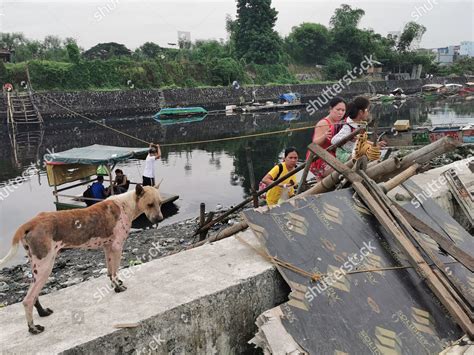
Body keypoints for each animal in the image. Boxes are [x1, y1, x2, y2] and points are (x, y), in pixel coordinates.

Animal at [0, 185, 164, 336]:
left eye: (160, 203)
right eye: (150, 204)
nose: (160, 219)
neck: (125, 204)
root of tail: (30, 223)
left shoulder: (108, 248)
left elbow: (110, 272)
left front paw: (115, 286)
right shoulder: (117, 247)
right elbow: (115, 271)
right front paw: (119, 287)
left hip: (37, 268)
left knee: (34, 295)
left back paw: (43, 312)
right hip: (45, 266)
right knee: (27, 300)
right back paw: (33, 328)